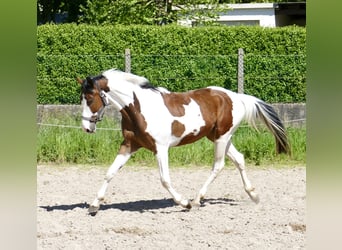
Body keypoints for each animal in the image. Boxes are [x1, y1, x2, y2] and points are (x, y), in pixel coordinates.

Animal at [77, 68, 288, 215]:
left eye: (89, 97)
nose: (86, 127)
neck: (139, 108)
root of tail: (237, 97)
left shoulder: (160, 149)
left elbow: (165, 179)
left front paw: (184, 203)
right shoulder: (129, 145)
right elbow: (110, 173)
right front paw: (94, 206)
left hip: (222, 137)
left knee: (218, 166)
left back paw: (196, 200)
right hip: (218, 137)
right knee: (239, 159)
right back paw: (253, 195)